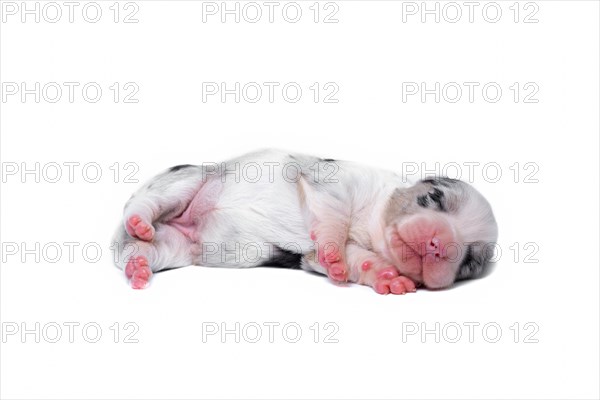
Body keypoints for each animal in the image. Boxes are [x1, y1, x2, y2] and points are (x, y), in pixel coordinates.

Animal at [111, 150, 496, 294]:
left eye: (469, 261)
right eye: (433, 198)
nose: (438, 243)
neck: (371, 226)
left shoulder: (324, 256)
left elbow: (357, 261)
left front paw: (387, 278)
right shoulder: (337, 181)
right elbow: (334, 216)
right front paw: (333, 249)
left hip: (177, 247)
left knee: (143, 252)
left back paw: (139, 264)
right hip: (185, 179)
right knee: (147, 203)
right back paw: (140, 222)